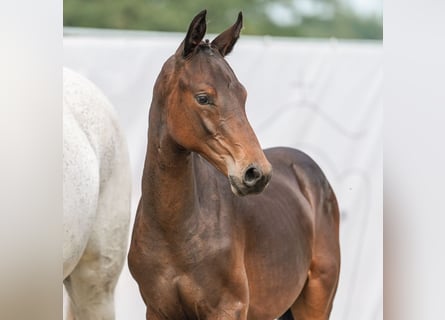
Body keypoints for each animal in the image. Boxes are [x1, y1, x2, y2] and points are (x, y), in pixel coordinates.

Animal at [128, 10, 340, 320]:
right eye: (203, 97)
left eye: (243, 95)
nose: (256, 173)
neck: (176, 231)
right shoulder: (158, 311)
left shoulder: (229, 308)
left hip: (317, 299)